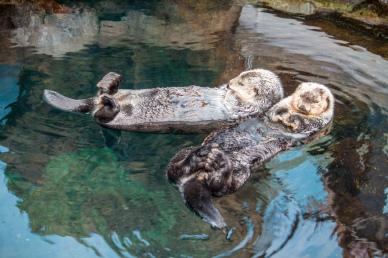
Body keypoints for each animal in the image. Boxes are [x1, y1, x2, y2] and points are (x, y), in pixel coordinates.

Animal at [44, 69, 284, 133]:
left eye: (242, 82)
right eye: (241, 75)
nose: (232, 81)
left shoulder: (244, 109)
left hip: (114, 119)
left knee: (102, 116)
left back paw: (109, 101)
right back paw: (110, 81)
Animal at [166, 82, 334, 228]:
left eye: (315, 101)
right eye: (302, 95)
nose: (302, 107)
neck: (294, 111)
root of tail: (196, 178)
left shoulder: (318, 124)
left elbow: (304, 123)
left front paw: (294, 118)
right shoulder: (280, 105)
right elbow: (275, 110)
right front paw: (281, 112)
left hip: (241, 172)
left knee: (221, 188)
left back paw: (220, 163)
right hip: (187, 151)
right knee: (172, 171)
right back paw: (201, 156)